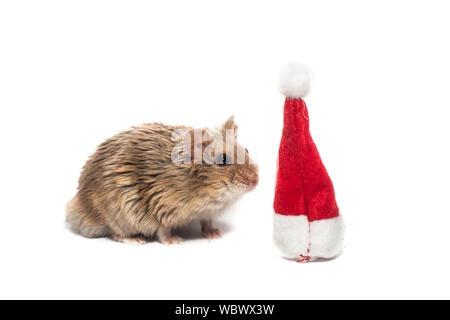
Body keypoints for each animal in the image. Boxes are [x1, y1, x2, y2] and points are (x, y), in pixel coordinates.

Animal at [65, 116, 258, 244]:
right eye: (223, 160)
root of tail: (77, 207)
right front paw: (175, 241)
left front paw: (216, 234)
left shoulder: (208, 212)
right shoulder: (162, 209)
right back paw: (136, 240)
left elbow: (207, 222)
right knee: (117, 234)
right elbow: (163, 231)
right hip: (116, 215)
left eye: (246, 150)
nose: (256, 181)